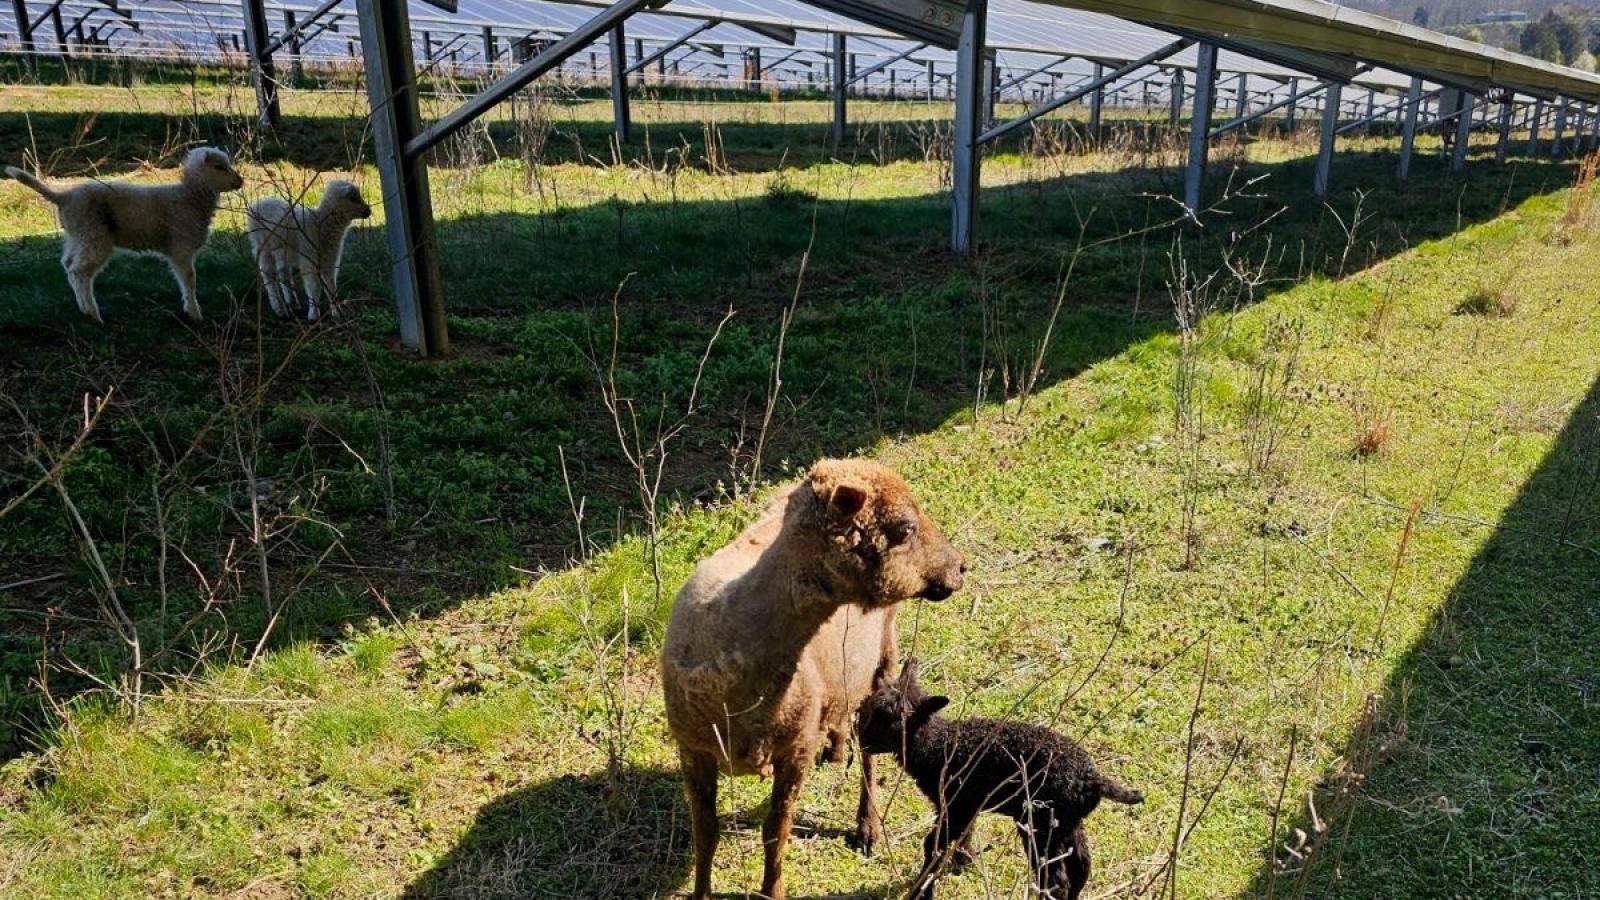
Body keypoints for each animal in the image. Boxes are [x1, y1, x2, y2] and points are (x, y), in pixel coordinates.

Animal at [4, 147, 244, 322]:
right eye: (220, 167)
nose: (240, 181)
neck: (189, 196)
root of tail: (64, 197)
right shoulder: (181, 248)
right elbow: (189, 279)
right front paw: (194, 313)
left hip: (77, 236)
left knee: (68, 264)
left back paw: (83, 309)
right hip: (94, 236)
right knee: (80, 271)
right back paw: (94, 314)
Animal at [245, 180, 372, 323]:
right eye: (353, 198)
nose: (369, 211)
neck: (320, 223)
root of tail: (257, 204)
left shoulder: (330, 261)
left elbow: (331, 287)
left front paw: (337, 312)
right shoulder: (309, 259)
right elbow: (314, 287)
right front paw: (314, 315)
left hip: (282, 251)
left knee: (283, 273)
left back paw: (293, 304)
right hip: (262, 247)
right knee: (268, 276)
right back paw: (280, 310)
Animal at [661, 458, 967, 900]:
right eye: (906, 527)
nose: (961, 566)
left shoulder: (796, 751)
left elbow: (775, 832)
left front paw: (772, 890)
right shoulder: (693, 750)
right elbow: (706, 835)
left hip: (884, 657)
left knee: (870, 752)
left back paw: (867, 826)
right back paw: (837, 750)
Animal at [858, 658, 1143, 900]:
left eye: (892, 721)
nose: (862, 740)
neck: (940, 747)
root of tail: (1094, 779)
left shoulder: (955, 804)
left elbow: (934, 846)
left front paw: (923, 890)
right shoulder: (965, 806)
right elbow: (963, 836)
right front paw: (964, 864)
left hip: (1041, 823)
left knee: (1055, 880)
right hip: (1067, 823)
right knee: (1081, 866)